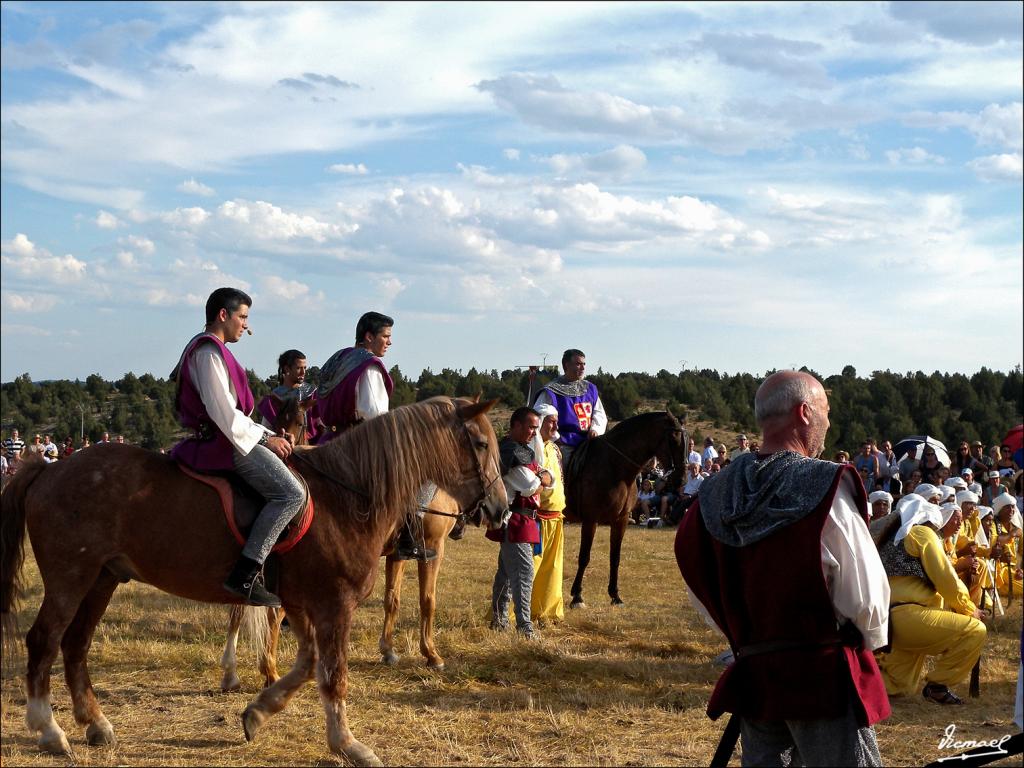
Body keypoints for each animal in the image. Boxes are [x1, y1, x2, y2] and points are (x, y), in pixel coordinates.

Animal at [0, 393, 507, 765]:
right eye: (481, 445)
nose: (501, 509)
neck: (346, 494)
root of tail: (49, 467)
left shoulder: (300, 603)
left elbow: (306, 664)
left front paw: (259, 713)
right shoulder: (334, 604)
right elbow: (334, 675)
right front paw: (347, 744)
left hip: (102, 579)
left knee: (75, 644)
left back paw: (95, 723)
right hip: (70, 578)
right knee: (44, 641)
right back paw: (50, 730)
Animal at [561, 411, 688, 610]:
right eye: (673, 439)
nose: (680, 480)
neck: (614, 467)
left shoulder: (620, 521)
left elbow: (615, 557)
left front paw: (615, 595)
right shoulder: (590, 520)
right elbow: (584, 557)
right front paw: (577, 596)